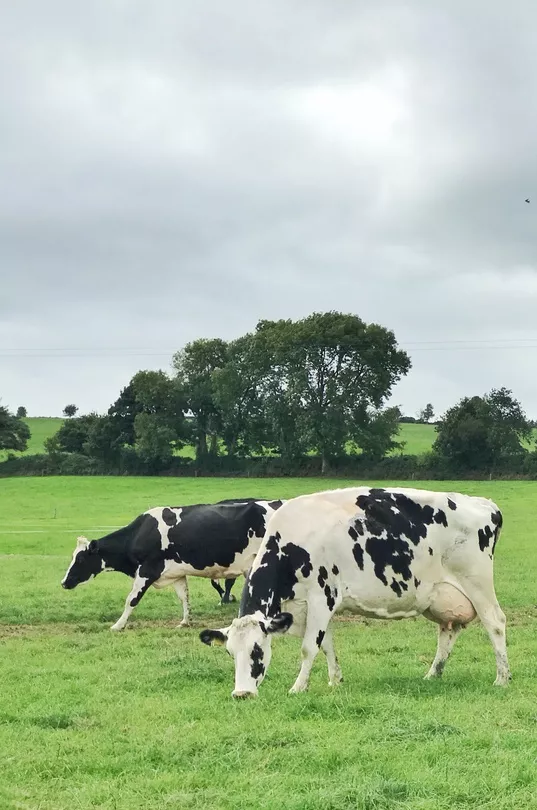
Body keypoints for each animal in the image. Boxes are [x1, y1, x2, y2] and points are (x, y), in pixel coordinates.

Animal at [60, 496, 282, 628]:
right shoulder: (176, 573)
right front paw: (185, 621)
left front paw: (118, 625)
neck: (140, 533)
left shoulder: (147, 570)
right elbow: (184, 597)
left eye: (80, 558)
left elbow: (131, 600)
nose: (64, 582)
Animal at [199, 486, 508, 696]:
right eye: (230, 653)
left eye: (257, 652)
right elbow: (326, 644)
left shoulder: (321, 596)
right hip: (442, 597)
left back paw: (502, 678)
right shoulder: (313, 606)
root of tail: (484, 503)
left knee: (495, 623)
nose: (242, 694)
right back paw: (433, 674)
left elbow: (309, 647)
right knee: (448, 631)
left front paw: (298, 687)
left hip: (477, 583)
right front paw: (335, 680)